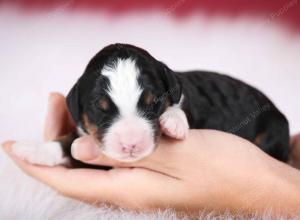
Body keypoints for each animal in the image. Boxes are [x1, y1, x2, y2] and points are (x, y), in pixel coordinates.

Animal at [12, 43, 290, 167]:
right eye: (100, 108)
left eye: (153, 103)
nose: (131, 144)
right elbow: (68, 143)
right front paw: (33, 149)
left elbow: (180, 107)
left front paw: (173, 122)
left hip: (273, 130)